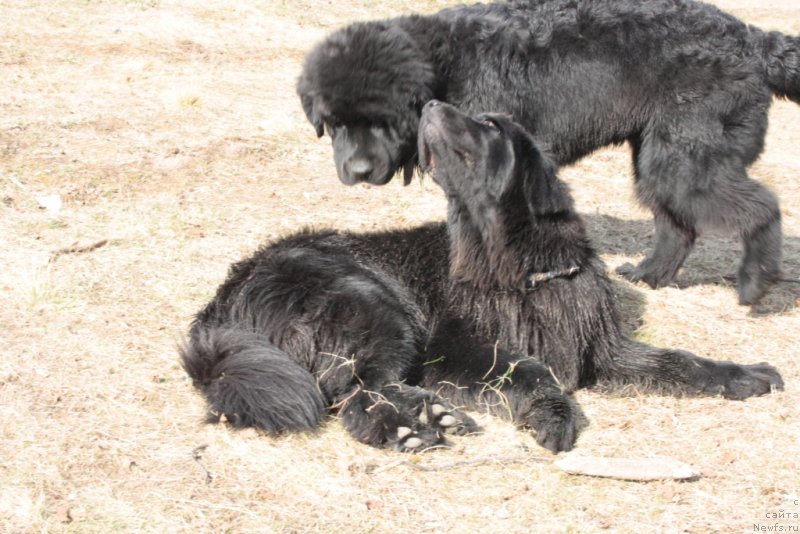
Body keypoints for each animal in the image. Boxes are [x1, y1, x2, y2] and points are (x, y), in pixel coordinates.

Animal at [180, 102, 780, 454]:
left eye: (489, 125)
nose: (428, 102)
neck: (524, 269)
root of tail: (221, 305)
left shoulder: (602, 349)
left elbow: (678, 361)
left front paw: (745, 374)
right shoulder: (457, 350)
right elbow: (532, 369)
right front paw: (554, 416)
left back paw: (429, 420)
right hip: (379, 307)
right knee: (356, 394)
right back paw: (411, 427)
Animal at [296, 0, 800, 306]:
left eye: (383, 121)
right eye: (335, 123)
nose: (358, 170)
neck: (444, 68)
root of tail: (756, 42)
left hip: (685, 161)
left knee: (761, 206)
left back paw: (755, 282)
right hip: (659, 156)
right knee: (678, 225)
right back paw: (649, 275)